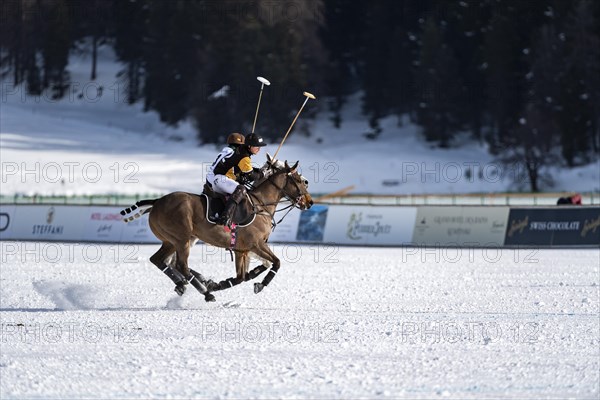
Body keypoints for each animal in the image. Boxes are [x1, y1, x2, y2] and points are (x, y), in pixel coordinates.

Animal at [119, 155, 312, 302]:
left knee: (159, 260)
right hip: (182, 239)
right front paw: (260, 285)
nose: (309, 202)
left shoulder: (242, 250)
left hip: (171, 240)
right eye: (300, 180)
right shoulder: (256, 244)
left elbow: (242, 277)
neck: (260, 204)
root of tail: (157, 201)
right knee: (181, 265)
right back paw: (205, 292)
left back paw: (185, 284)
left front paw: (216, 284)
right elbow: (276, 262)